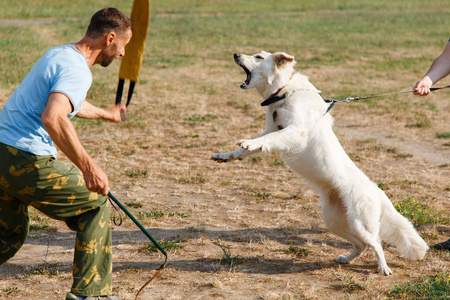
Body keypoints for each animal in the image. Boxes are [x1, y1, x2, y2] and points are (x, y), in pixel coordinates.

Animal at [211, 51, 428, 274]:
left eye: (259, 56)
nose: (236, 54)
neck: (285, 92)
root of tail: (377, 192)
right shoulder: (272, 129)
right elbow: (253, 146)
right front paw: (225, 156)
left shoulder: (295, 132)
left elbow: (265, 140)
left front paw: (247, 142)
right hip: (335, 221)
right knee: (362, 245)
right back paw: (346, 259)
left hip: (360, 222)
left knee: (376, 242)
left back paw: (383, 268)